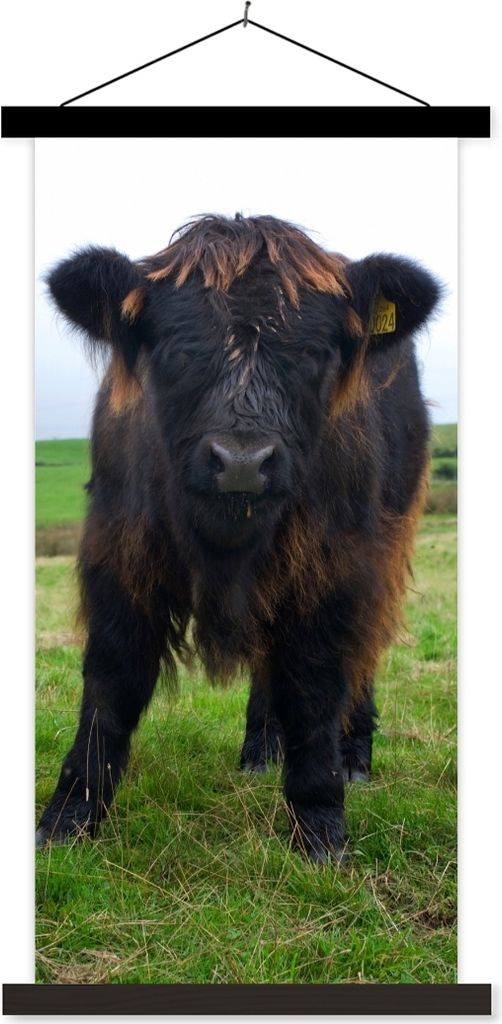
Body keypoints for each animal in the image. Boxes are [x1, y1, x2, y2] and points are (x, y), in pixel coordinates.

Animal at [36, 214, 440, 861]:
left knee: (363, 653)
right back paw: (259, 749)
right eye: (176, 348)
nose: (243, 463)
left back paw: (354, 757)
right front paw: (68, 819)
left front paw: (320, 826)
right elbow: (110, 682)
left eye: (314, 352)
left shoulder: (336, 568)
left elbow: (318, 684)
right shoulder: (118, 555)